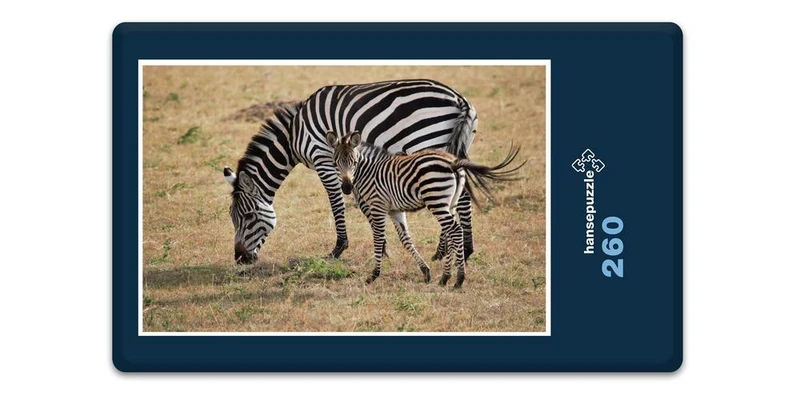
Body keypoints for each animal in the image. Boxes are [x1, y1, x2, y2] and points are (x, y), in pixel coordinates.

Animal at [223, 79, 479, 265]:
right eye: (232, 218)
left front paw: (339, 248)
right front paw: (383, 247)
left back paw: (451, 251)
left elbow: (337, 202)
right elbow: (363, 203)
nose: (240, 259)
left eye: (248, 217)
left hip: (427, 142)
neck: (294, 134)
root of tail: (459, 99)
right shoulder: (347, 165)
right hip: (455, 147)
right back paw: (457, 250)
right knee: (460, 193)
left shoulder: (323, 159)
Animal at [327, 130, 525, 288]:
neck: (369, 172)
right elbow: (405, 239)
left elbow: (378, 238)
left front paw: (373, 275)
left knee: (454, 230)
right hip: (449, 202)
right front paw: (425, 271)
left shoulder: (378, 206)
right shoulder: (395, 210)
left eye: (354, 163)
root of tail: (453, 163)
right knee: (451, 231)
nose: (346, 188)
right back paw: (446, 278)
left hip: (436, 200)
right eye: (335, 163)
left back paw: (457, 279)